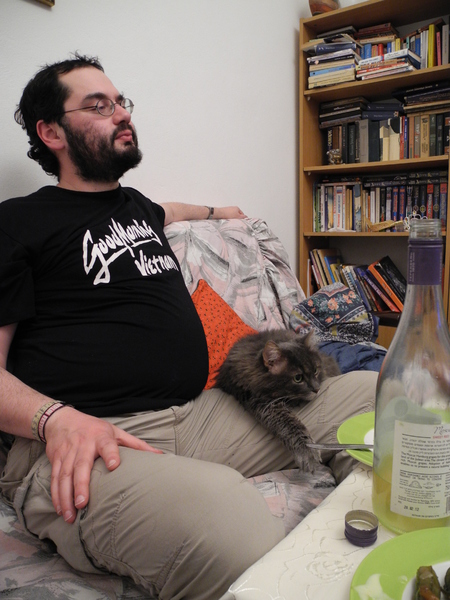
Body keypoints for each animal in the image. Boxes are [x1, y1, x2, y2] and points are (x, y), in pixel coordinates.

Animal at [214, 329, 341, 473]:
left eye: (315, 370)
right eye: (298, 378)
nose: (317, 389)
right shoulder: (261, 402)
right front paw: (308, 452)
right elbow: (290, 425)